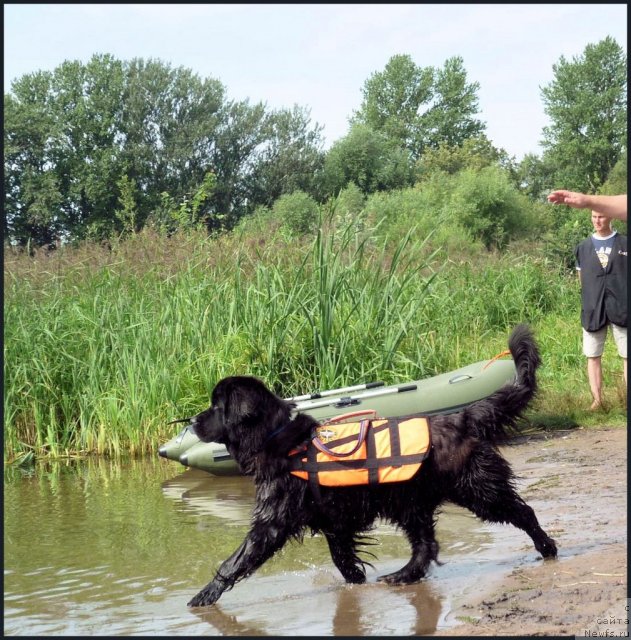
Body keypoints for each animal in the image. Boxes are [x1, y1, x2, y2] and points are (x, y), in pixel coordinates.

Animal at [188, 322, 556, 608]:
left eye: (216, 407)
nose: (191, 421)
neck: (279, 440)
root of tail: (463, 417)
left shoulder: (274, 520)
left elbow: (238, 558)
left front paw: (205, 595)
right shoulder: (334, 521)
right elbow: (342, 557)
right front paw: (356, 581)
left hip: (475, 489)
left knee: (522, 512)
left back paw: (547, 547)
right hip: (411, 502)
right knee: (426, 544)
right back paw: (404, 574)